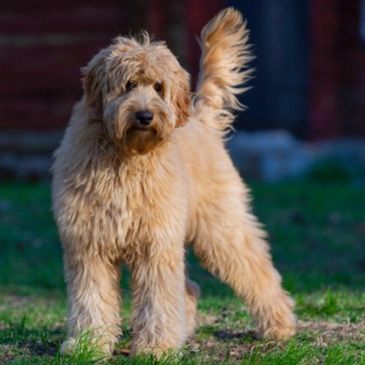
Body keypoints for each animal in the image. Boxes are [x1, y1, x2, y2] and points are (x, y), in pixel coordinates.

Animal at [52, 7, 296, 356]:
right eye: (128, 84)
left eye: (158, 86)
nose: (144, 116)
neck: (126, 158)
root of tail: (201, 120)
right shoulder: (89, 244)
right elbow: (91, 298)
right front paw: (89, 344)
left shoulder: (155, 244)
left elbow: (157, 299)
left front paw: (155, 348)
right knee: (190, 289)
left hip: (221, 229)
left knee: (257, 272)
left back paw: (280, 325)